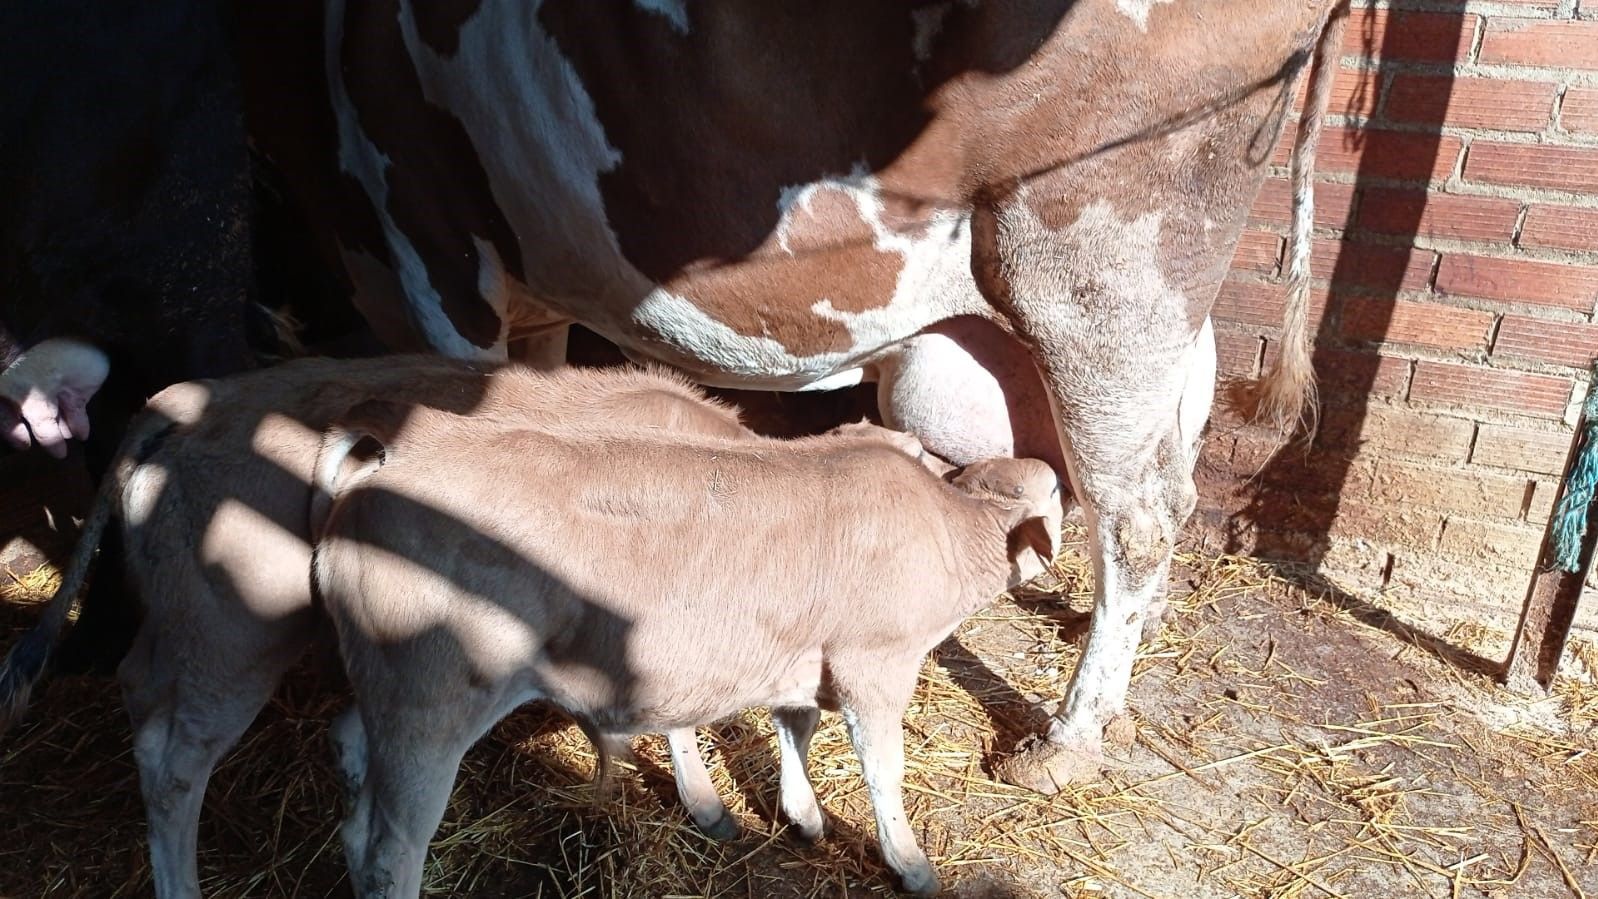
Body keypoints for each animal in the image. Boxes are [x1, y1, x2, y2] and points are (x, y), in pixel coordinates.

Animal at [0, 357, 943, 898]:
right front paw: (709, 796)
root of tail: (179, 398)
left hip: (183, 621)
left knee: (138, 694)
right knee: (174, 761)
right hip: (234, 633)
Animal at [242, 0, 1349, 791]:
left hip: (1103, 263)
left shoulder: (418, 250)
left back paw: (1064, 741)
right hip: (1137, 308)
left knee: (1141, 511)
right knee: (1168, 461)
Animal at [312, 399, 1060, 896]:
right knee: (390, 846)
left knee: (348, 766)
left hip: (386, 680)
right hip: (432, 701)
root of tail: (391, 460)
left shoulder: (799, 654)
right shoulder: (873, 661)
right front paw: (908, 862)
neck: (949, 531)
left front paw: (803, 814)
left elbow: (797, 728)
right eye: (1056, 489)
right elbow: (884, 770)